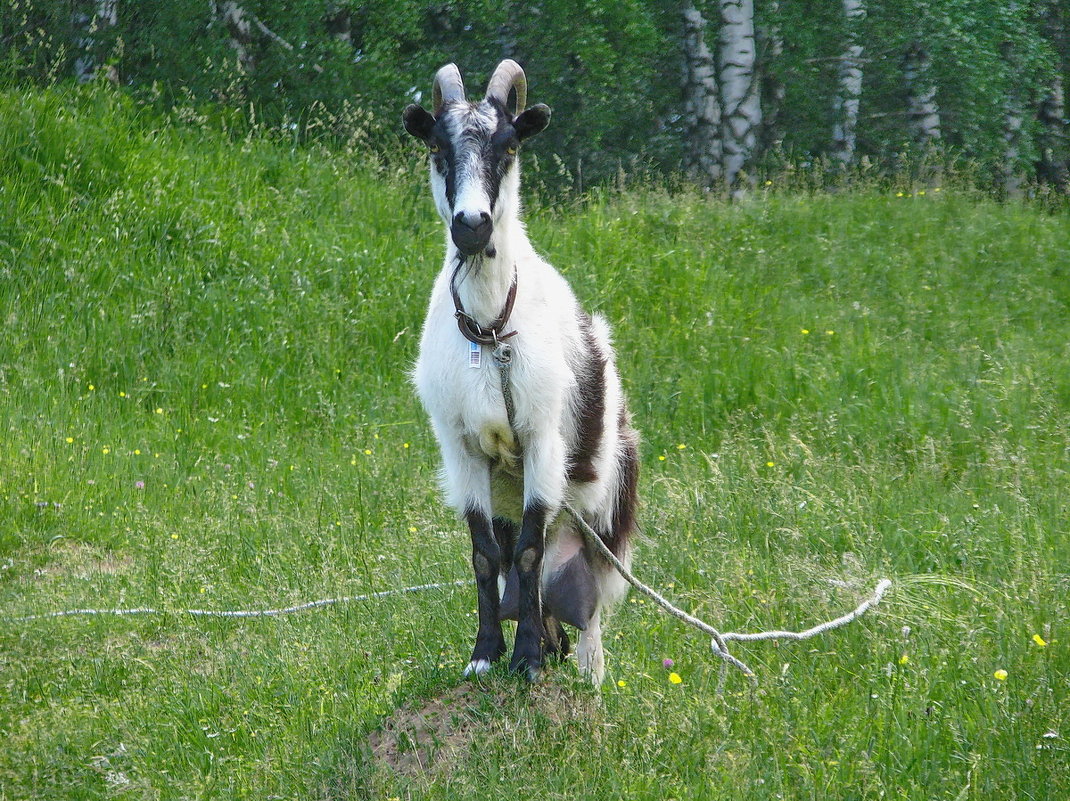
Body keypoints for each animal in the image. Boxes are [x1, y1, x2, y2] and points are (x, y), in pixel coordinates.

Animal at [400, 60, 633, 680]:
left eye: (508, 146)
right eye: (437, 146)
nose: (472, 225)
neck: (489, 330)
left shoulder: (542, 438)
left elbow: (529, 548)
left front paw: (525, 657)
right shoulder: (460, 447)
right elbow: (485, 554)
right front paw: (485, 654)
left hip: (604, 520)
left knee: (588, 610)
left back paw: (580, 670)